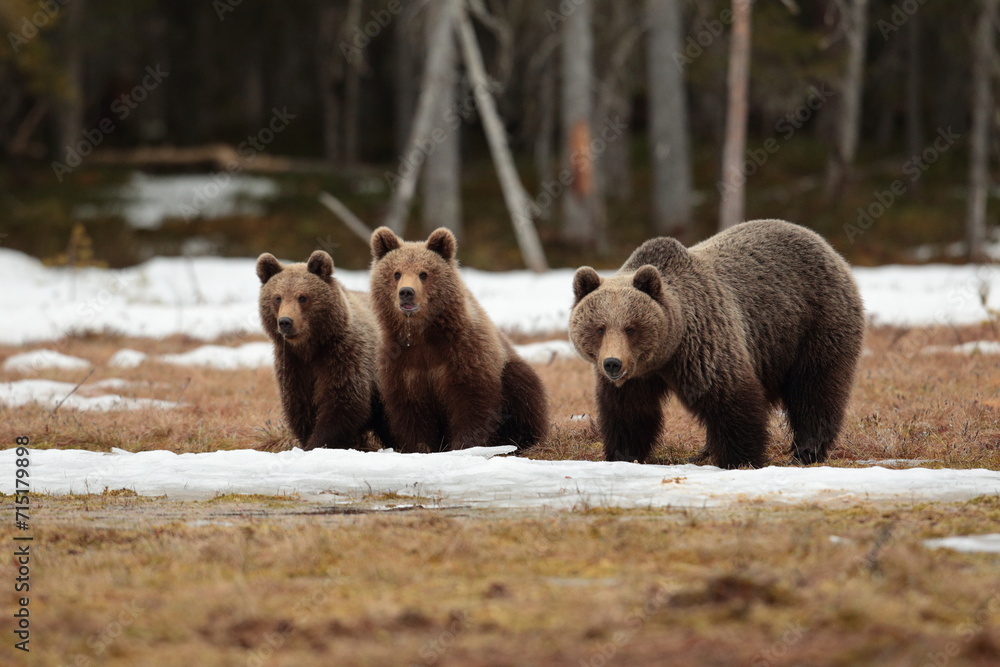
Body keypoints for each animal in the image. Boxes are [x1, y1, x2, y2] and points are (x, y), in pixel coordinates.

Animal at [257, 250, 393, 451]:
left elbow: (342, 403)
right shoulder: (293, 365)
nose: (285, 322)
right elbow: (301, 407)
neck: (310, 347)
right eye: (277, 297)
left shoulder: (343, 356)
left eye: (303, 297)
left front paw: (317, 444)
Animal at [368, 226, 549, 452]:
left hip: (512, 373)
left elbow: (471, 401)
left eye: (424, 274)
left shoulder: (465, 353)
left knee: (523, 391)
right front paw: (420, 447)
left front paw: (464, 445)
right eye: (396, 273)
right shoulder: (402, 363)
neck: (423, 335)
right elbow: (410, 409)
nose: (406, 292)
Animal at [569, 219, 865, 469]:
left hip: (816, 323)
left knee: (815, 387)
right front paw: (622, 454)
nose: (612, 364)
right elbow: (628, 413)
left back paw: (807, 450)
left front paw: (742, 458)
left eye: (631, 328)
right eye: (599, 327)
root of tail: (824, 244)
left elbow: (729, 397)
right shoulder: (636, 378)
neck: (665, 353)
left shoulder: (702, 344)